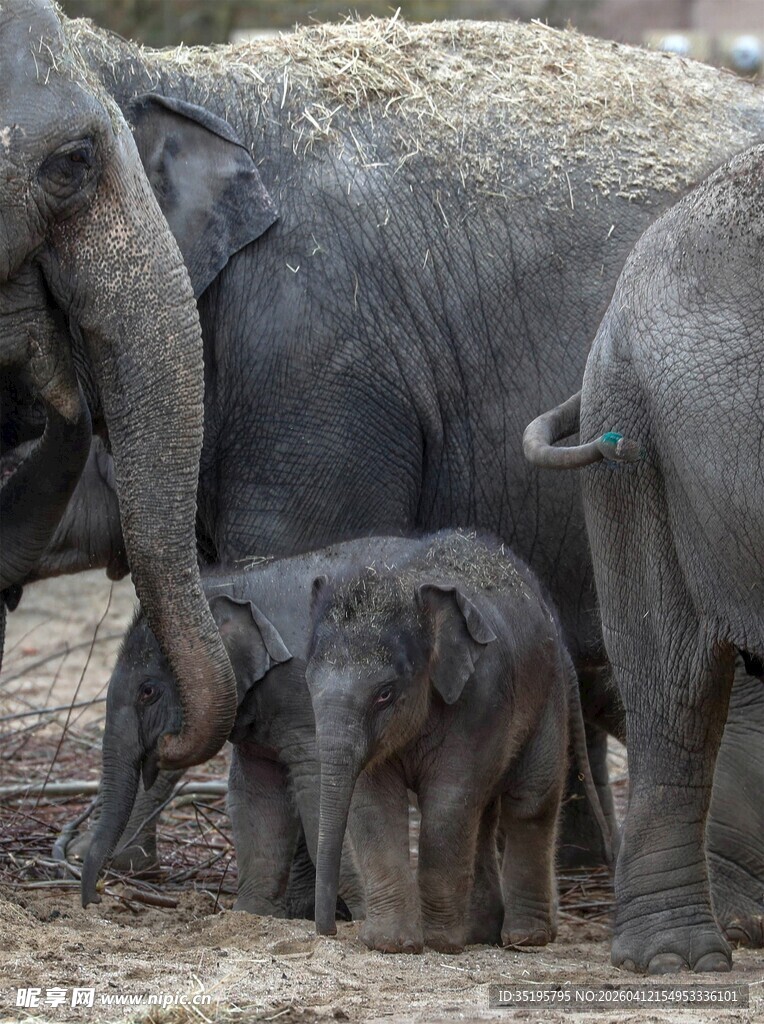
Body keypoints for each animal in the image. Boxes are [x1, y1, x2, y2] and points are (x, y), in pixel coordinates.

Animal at [80, 533, 436, 914]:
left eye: (147, 692)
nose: (94, 899)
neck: (240, 584)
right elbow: (254, 796)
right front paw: (249, 914)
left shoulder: (307, 700)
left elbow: (318, 790)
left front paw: (362, 915)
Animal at [307, 529, 611, 954]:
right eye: (308, 683)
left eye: (385, 693)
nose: (328, 930)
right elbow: (371, 802)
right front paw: (390, 944)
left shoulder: (482, 696)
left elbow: (449, 802)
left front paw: (438, 943)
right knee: (484, 813)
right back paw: (480, 933)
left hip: (548, 699)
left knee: (529, 802)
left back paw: (525, 937)